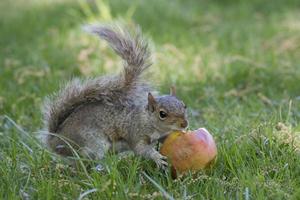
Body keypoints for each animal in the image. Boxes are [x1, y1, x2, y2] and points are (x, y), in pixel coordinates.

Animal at [40, 25, 188, 169]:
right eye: (162, 114)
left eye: (184, 106)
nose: (184, 124)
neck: (147, 120)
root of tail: (55, 140)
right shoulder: (136, 133)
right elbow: (141, 149)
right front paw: (157, 158)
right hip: (93, 145)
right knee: (79, 165)